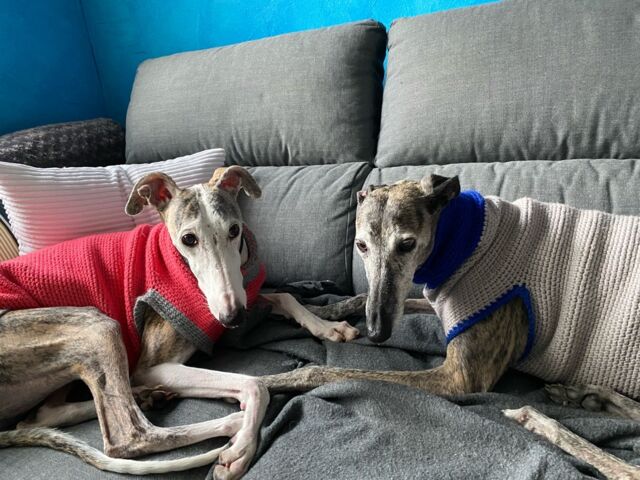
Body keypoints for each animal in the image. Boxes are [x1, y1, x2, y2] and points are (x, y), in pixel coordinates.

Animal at [0, 166, 361, 479]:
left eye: (234, 230)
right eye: (189, 239)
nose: (233, 318)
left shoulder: (244, 298)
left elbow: (284, 296)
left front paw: (327, 325)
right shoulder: (154, 365)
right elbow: (254, 384)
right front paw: (242, 448)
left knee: (41, 416)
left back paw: (150, 397)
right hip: (96, 328)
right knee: (128, 436)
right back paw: (232, 421)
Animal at [260, 174, 640, 479]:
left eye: (407, 243)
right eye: (360, 245)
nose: (377, 333)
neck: (464, 241)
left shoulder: (460, 377)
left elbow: (326, 372)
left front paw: (270, 380)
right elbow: (361, 297)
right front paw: (313, 311)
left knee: (624, 468)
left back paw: (536, 418)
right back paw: (586, 395)